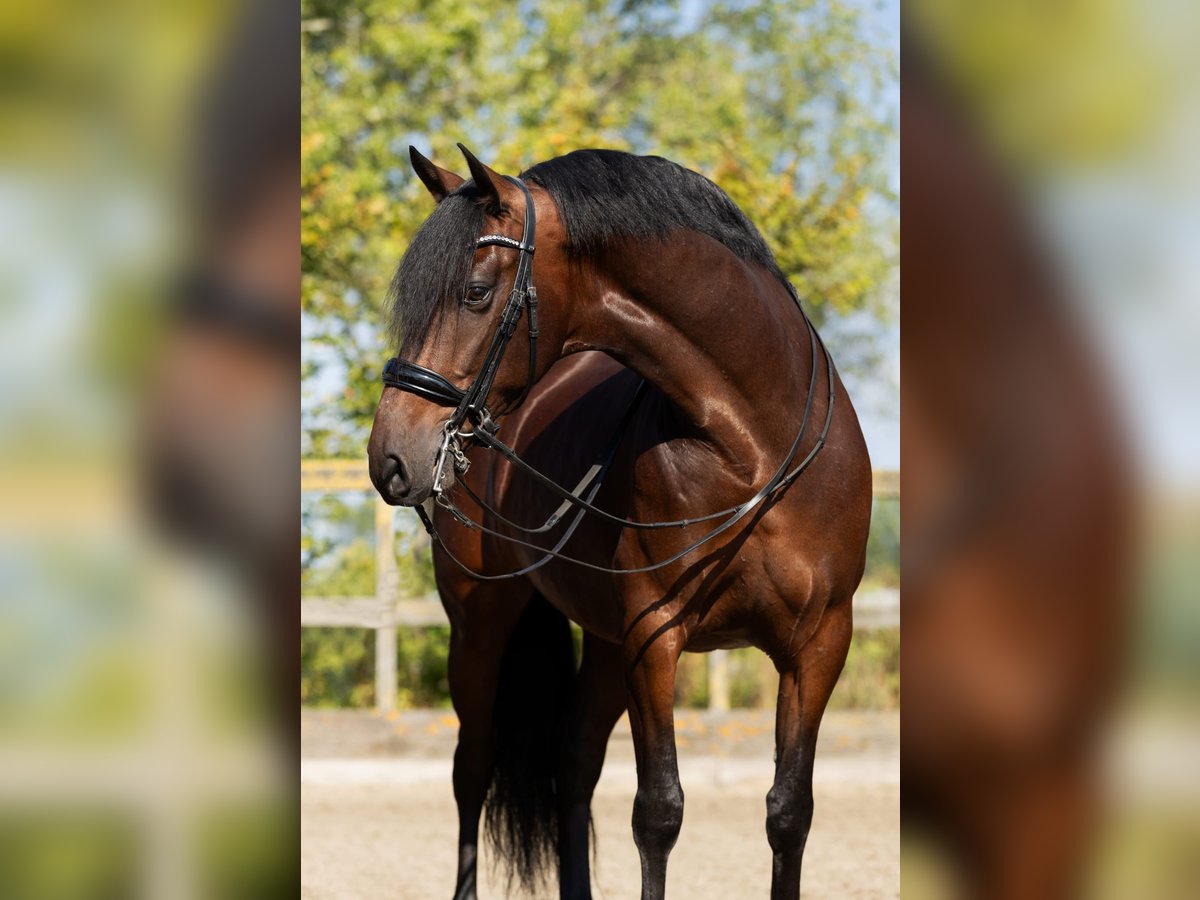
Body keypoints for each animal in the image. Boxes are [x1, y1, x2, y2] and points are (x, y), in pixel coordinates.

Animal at [364, 144, 873, 897]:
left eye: (476, 293)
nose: (390, 456)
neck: (756, 443)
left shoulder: (819, 645)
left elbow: (789, 813)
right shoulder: (653, 635)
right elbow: (658, 812)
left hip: (604, 643)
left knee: (573, 762)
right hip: (482, 622)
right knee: (472, 768)